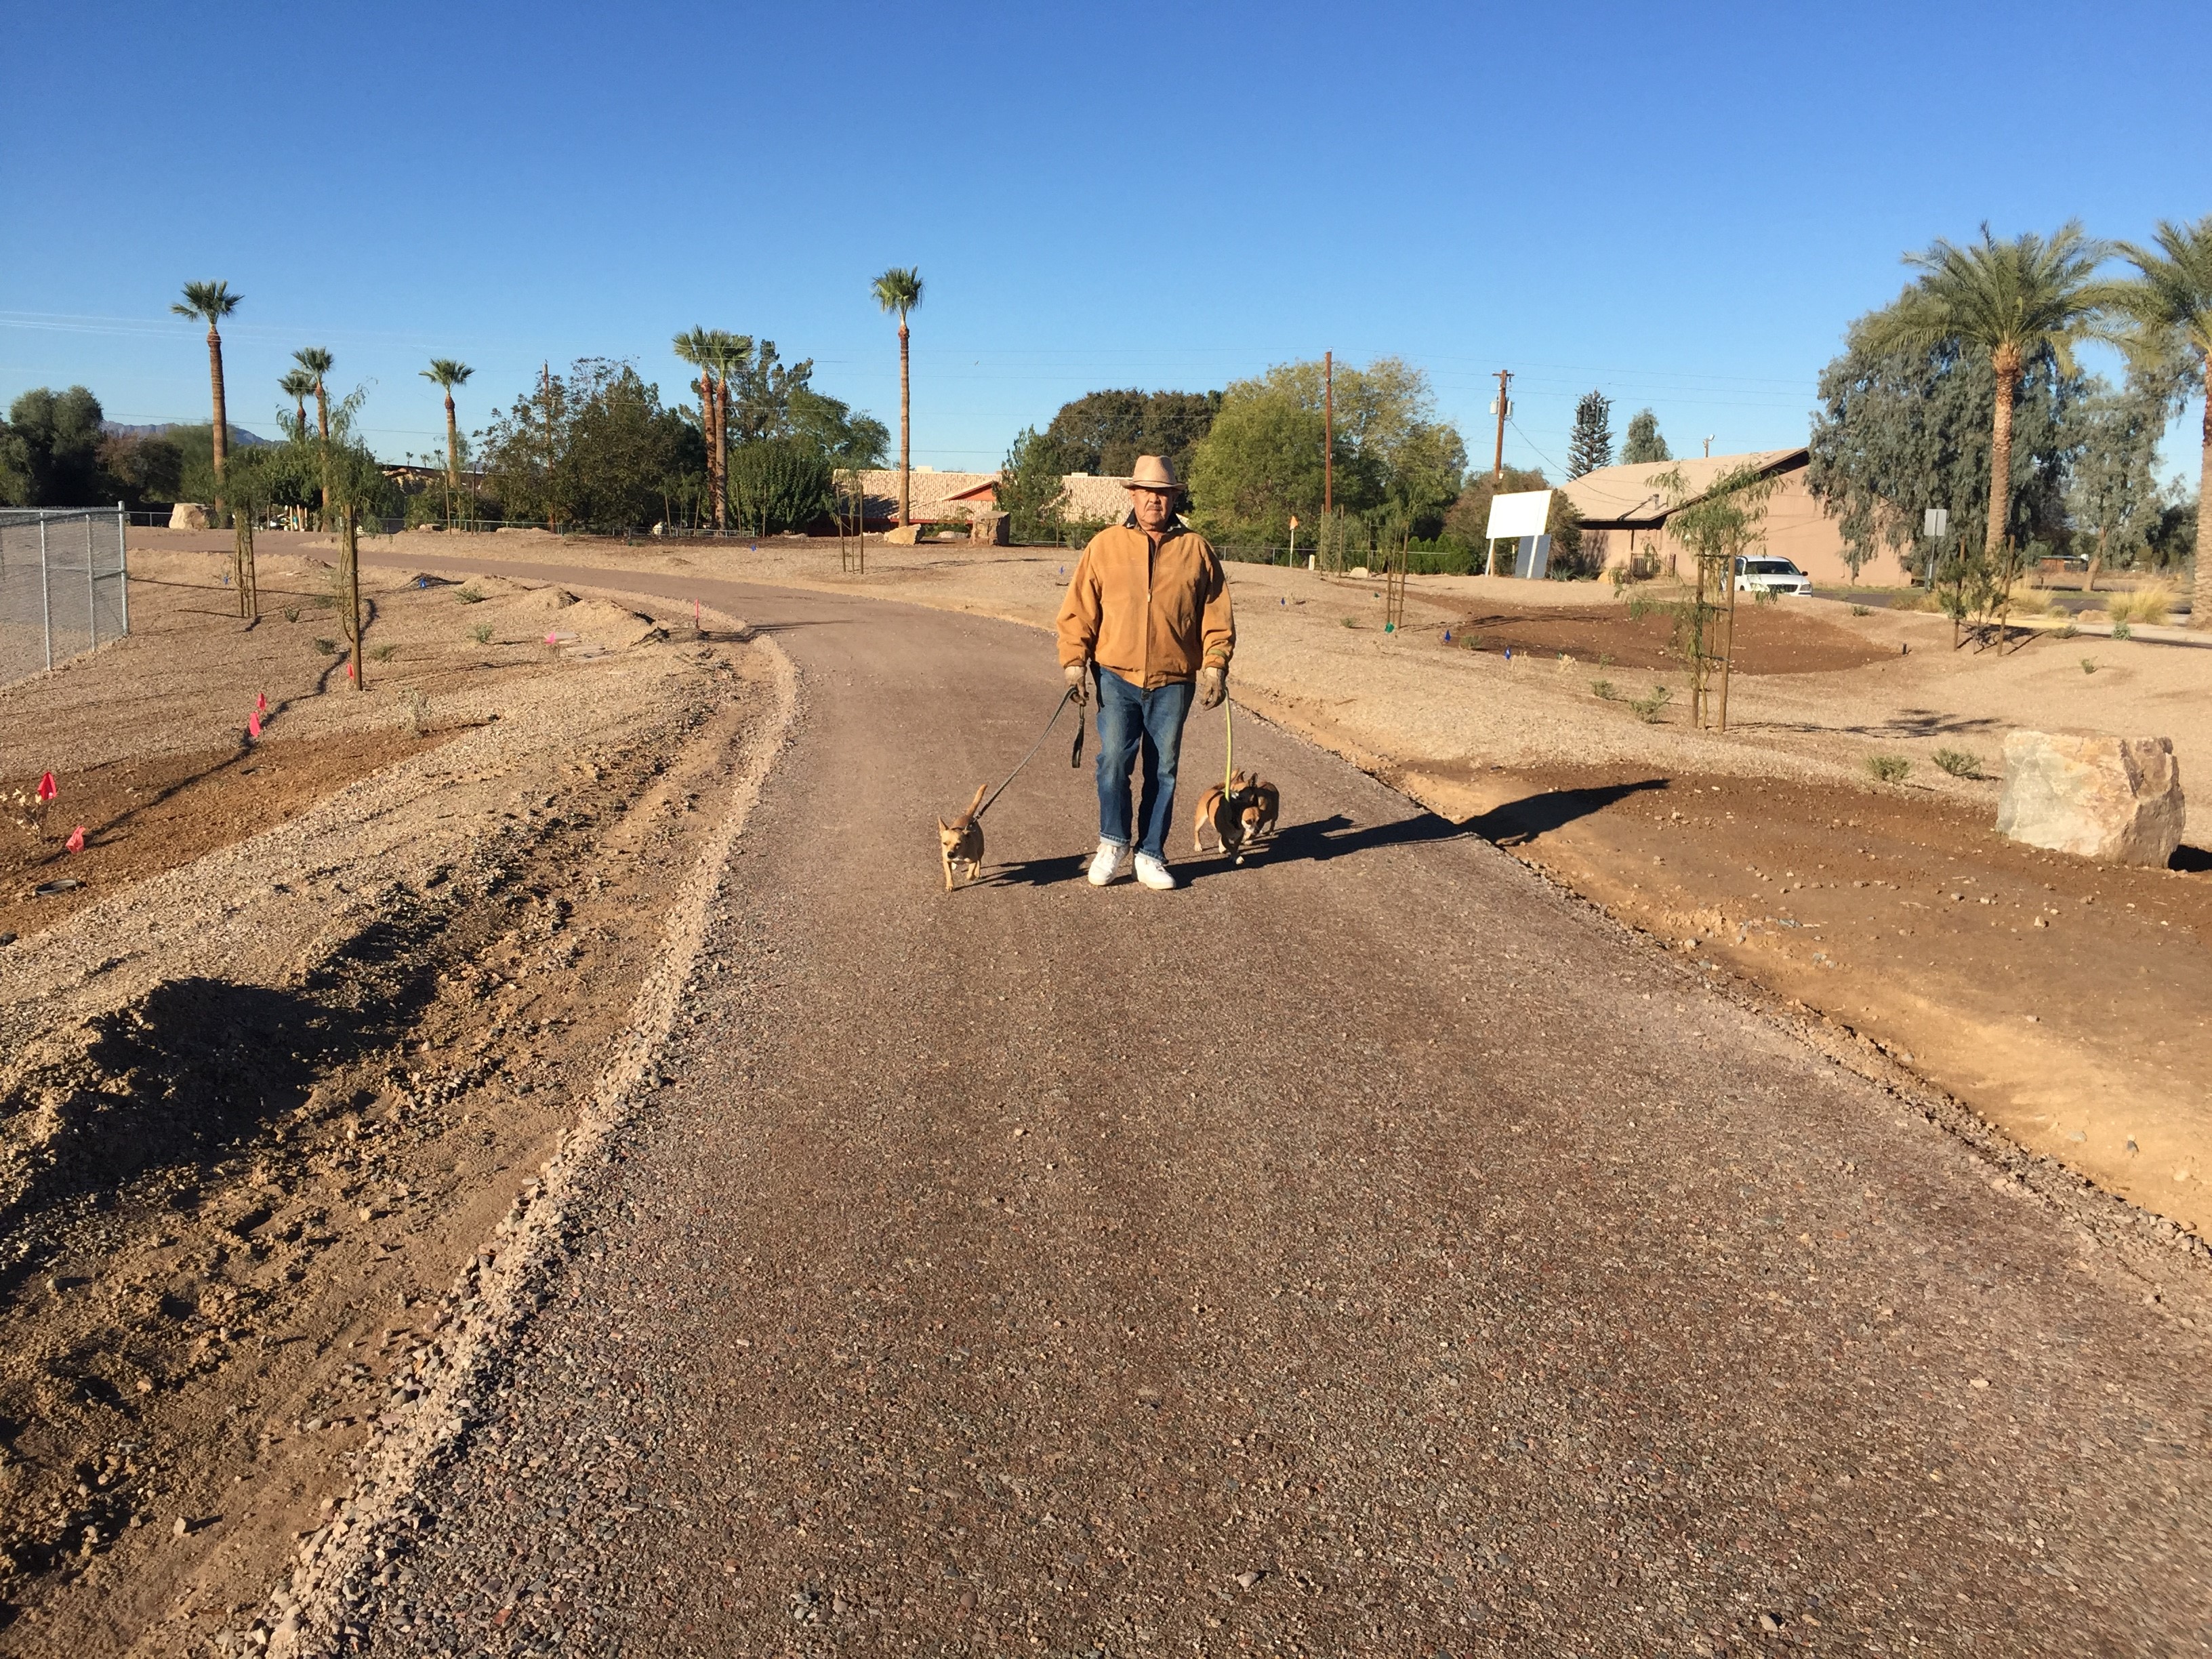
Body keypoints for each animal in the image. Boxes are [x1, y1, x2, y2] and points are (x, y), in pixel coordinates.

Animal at [937, 787, 991, 889]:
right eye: (944, 843)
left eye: (959, 844)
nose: (950, 854)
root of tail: (968, 816)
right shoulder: (946, 861)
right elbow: (949, 874)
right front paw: (950, 885)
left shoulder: (973, 860)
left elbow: (970, 873)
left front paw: (972, 876)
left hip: (980, 850)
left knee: (979, 862)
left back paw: (978, 873)